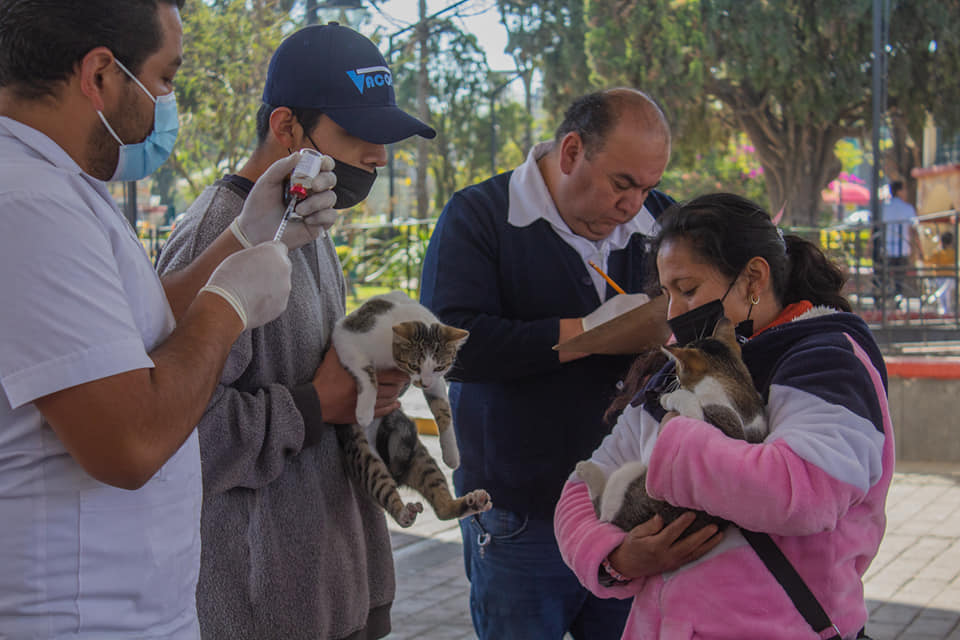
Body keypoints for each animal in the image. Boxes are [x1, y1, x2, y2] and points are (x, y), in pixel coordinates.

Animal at [332, 292, 496, 528]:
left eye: (439, 366)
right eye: (413, 365)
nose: (423, 383)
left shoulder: (436, 381)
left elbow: (444, 411)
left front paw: (452, 453)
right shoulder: (347, 337)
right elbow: (367, 373)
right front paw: (365, 410)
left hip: (419, 456)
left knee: (440, 505)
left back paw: (471, 502)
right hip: (360, 452)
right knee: (379, 482)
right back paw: (403, 514)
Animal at [572, 318, 768, 536]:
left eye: (678, 368)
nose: (674, 378)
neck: (736, 385)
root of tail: (625, 526)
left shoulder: (714, 425)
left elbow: (690, 404)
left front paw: (669, 397)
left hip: (627, 476)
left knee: (603, 510)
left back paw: (585, 470)